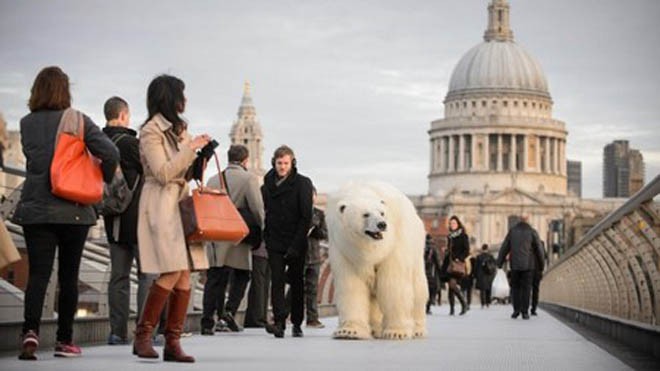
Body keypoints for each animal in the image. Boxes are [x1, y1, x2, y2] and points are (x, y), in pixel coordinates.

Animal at [326, 182, 428, 342]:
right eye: (365, 214)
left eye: (382, 213)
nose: (382, 225)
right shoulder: (344, 250)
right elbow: (351, 286)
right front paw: (349, 331)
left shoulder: (394, 243)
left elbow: (392, 283)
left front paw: (397, 332)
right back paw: (375, 329)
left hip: (416, 252)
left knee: (418, 291)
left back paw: (417, 330)